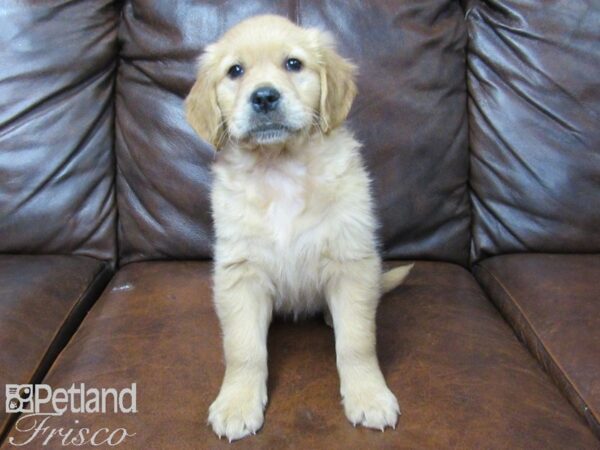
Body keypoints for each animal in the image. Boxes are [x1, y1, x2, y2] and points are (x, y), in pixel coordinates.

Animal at [186, 14, 412, 442]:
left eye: (293, 64)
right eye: (235, 71)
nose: (264, 97)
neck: (280, 167)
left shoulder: (351, 262)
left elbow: (357, 343)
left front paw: (368, 395)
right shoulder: (240, 273)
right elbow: (243, 350)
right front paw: (237, 402)